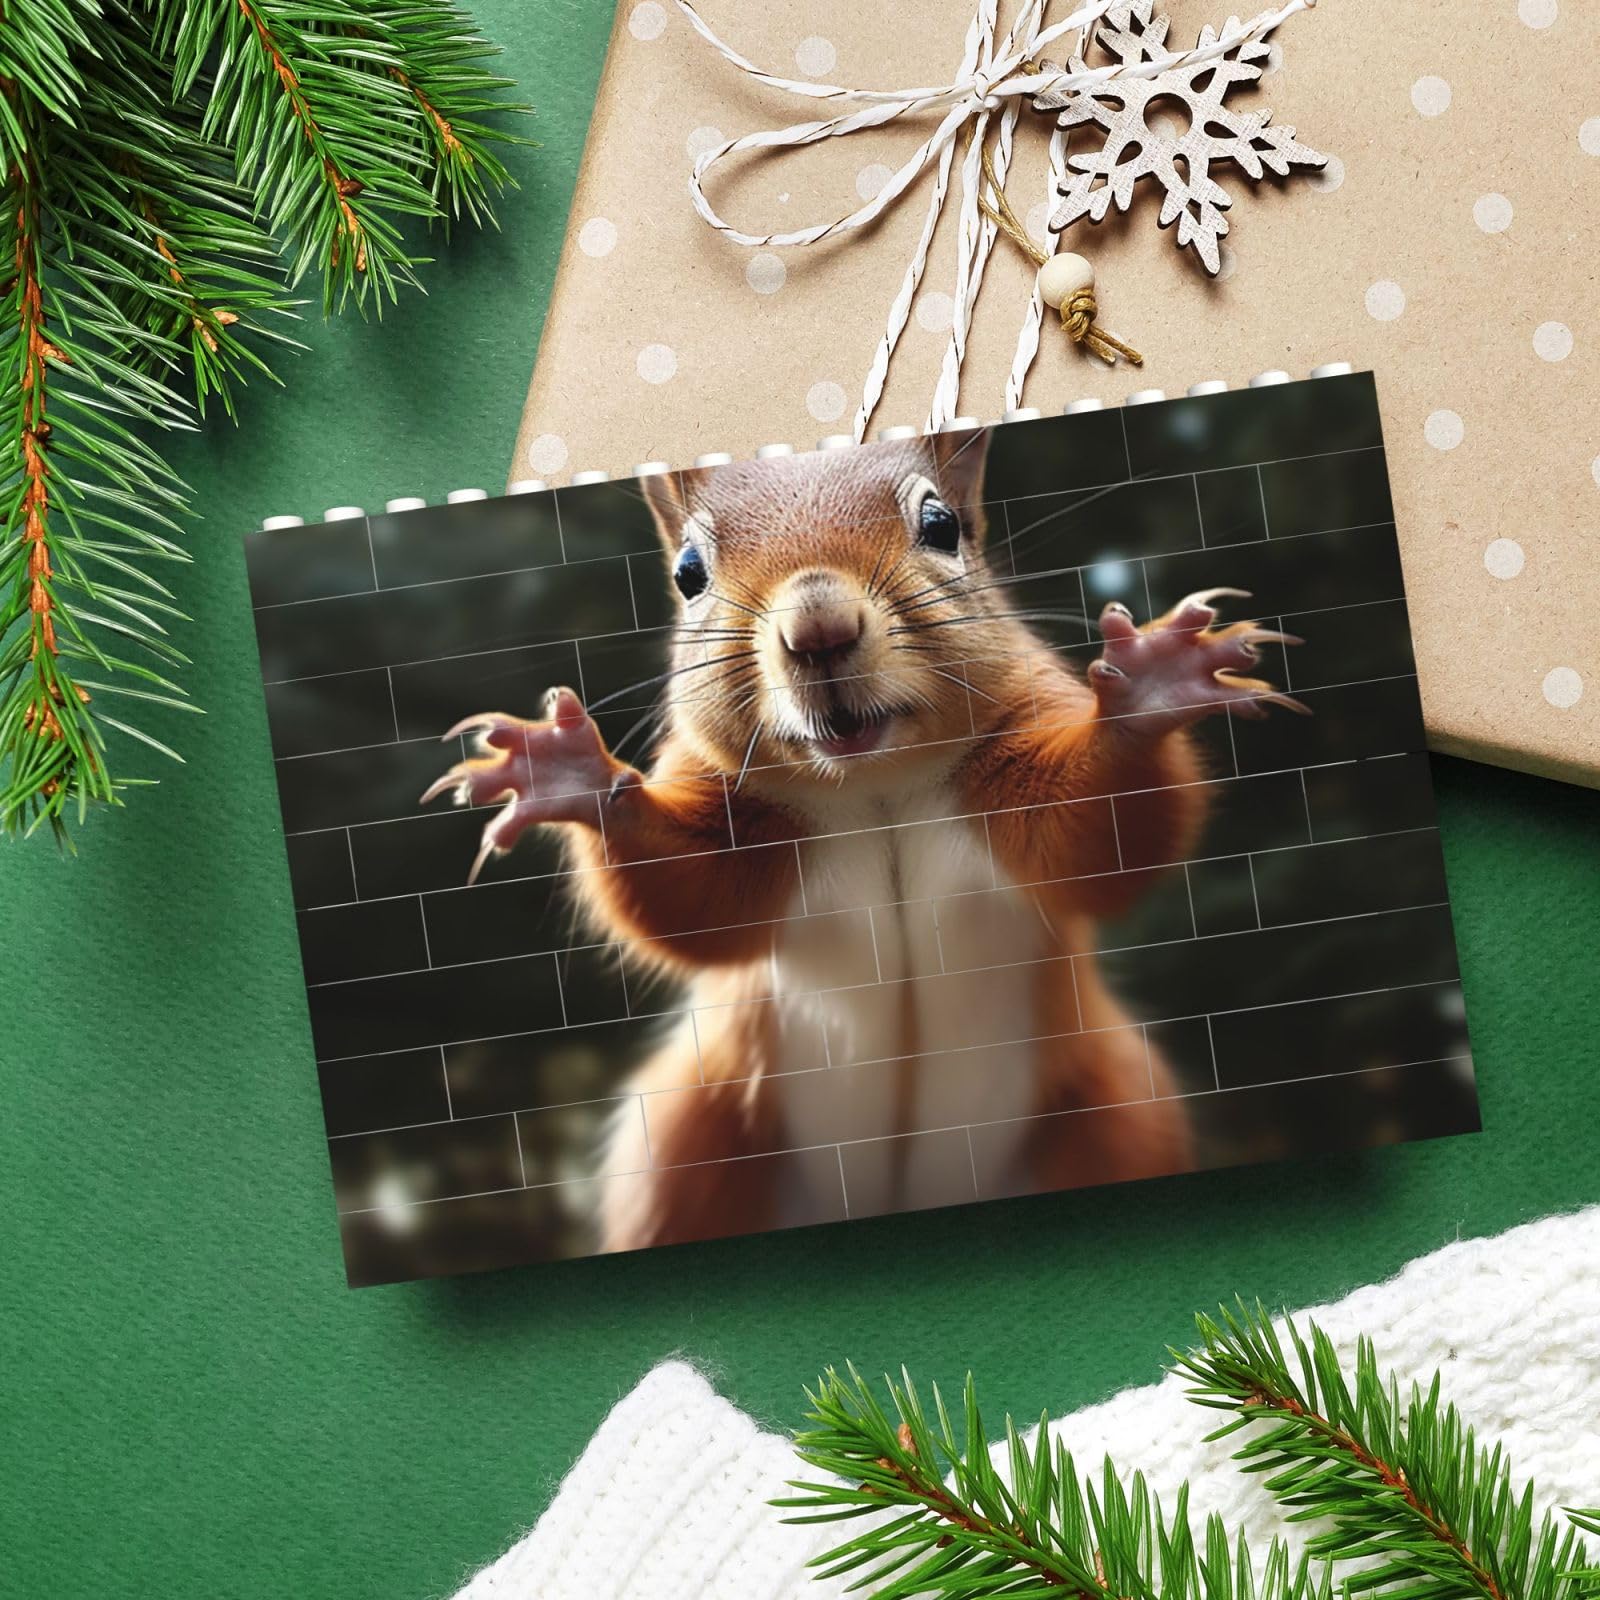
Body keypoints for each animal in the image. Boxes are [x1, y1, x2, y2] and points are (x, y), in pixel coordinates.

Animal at [423, 429, 1304, 1252]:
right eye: (689, 573)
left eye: (942, 526)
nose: (819, 628)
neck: (872, 787)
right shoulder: (731, 809)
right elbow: (696, 905)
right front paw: (569, 772)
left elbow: (1095, 845)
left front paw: (1149, 689)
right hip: (691, 1146)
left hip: (1114, 1111)